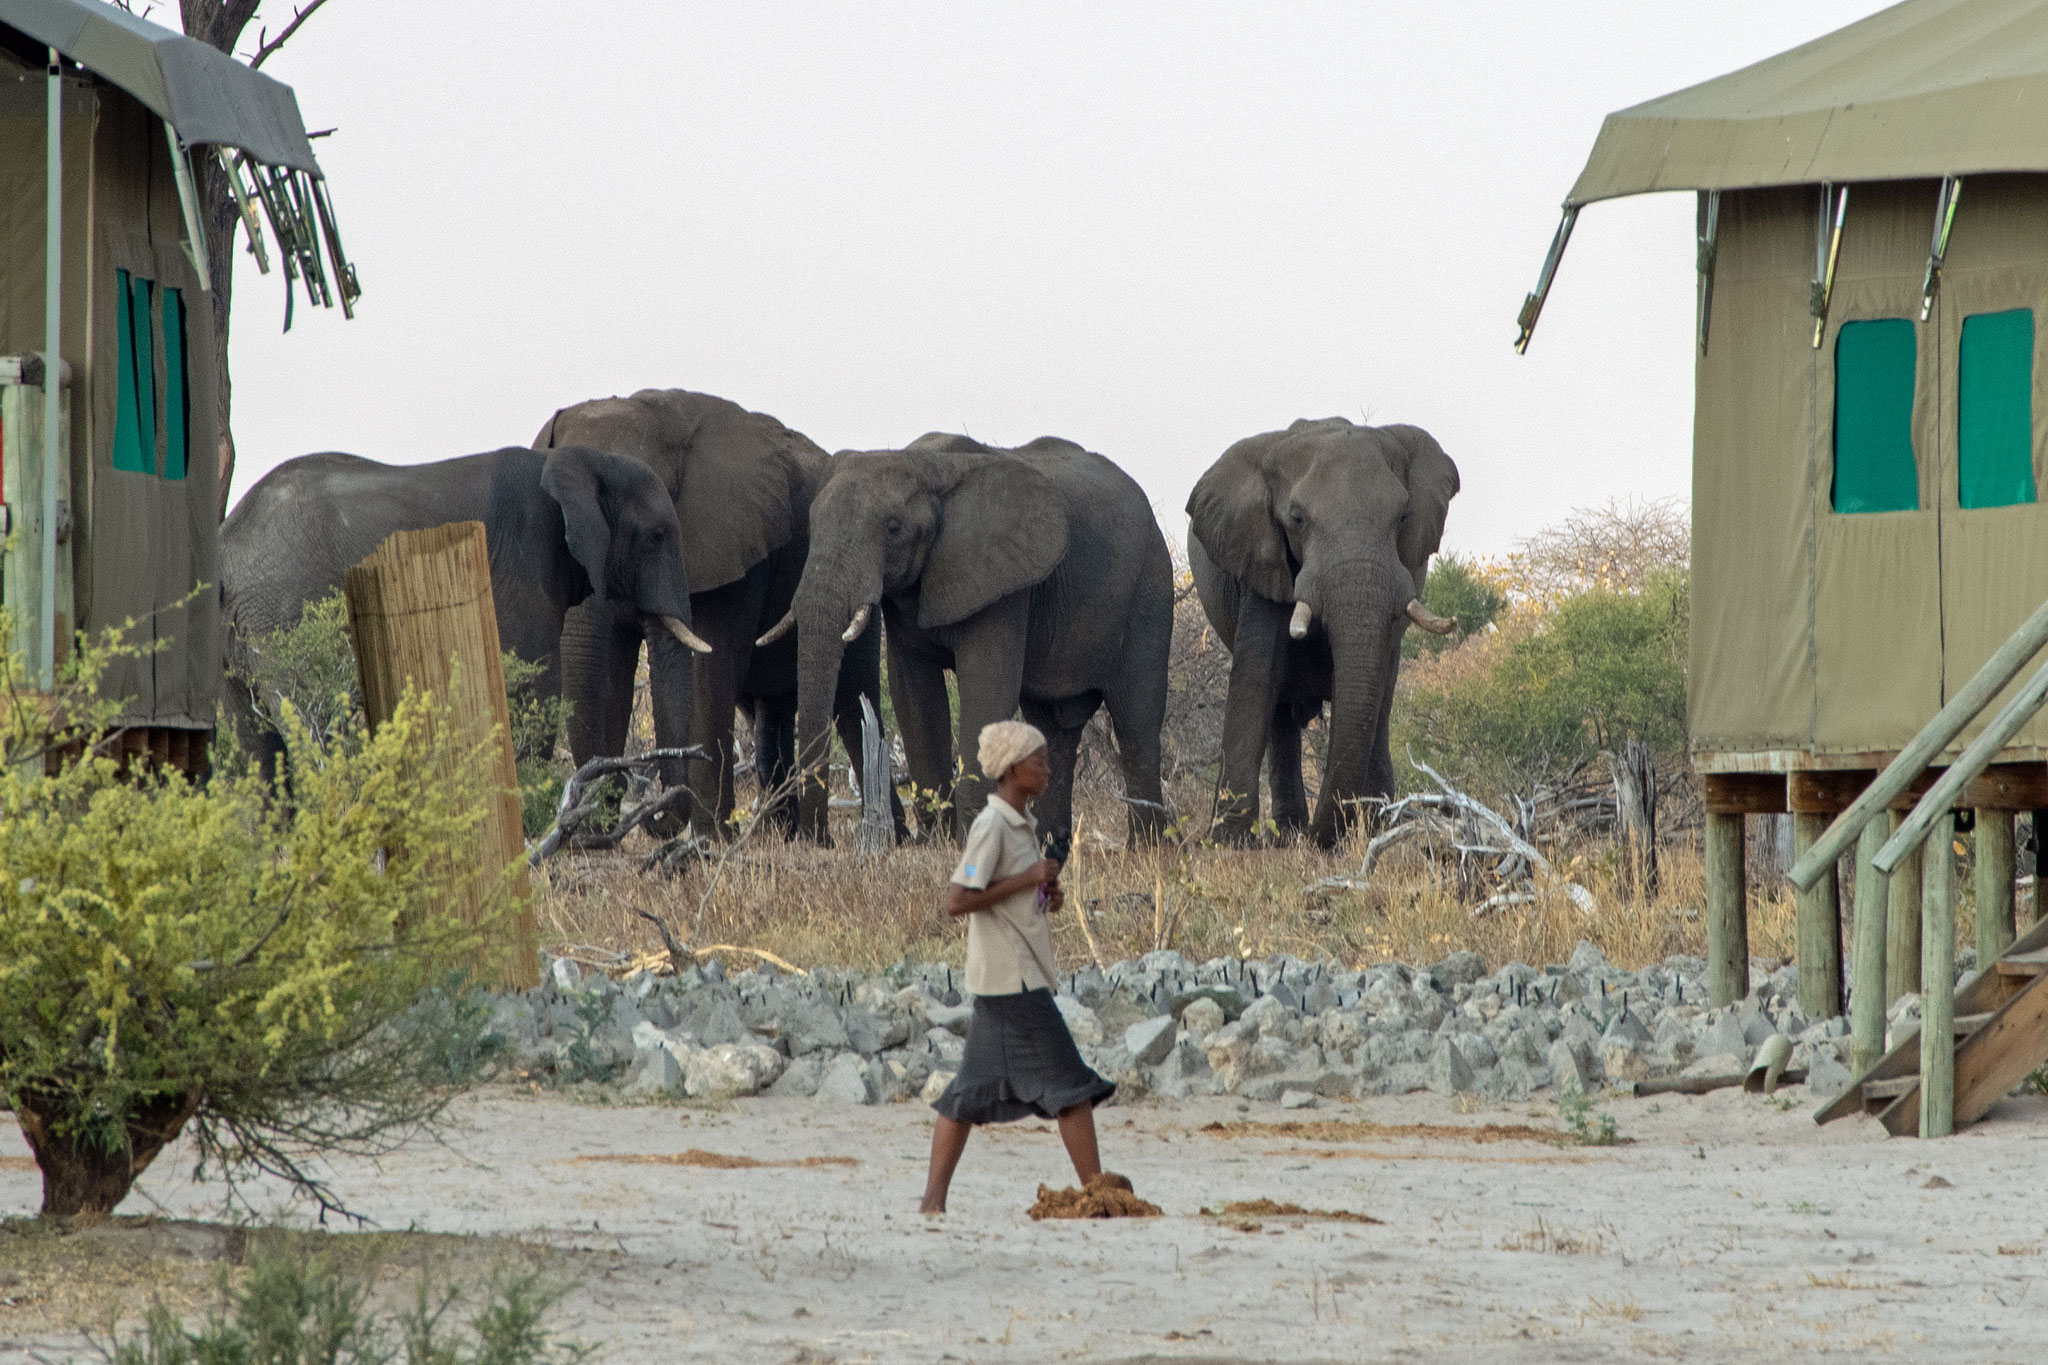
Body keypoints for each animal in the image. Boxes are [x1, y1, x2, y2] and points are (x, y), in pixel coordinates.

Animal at [222, 448, 704, 769]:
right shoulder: (522, 568)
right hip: (281, 614)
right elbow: (535, 685)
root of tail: (228, 540)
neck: (580, 461)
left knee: (253, 741)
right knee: (311, 725)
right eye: (657, 536)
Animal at [536, 388, 905, 839]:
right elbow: (609, 667)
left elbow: (707, 667)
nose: (638, 804)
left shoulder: (728, 545)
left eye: (653, 530)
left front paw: (707, 838)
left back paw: (887, 837)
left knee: (853, 700)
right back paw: (780, 833)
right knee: (769, 710)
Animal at [778, 435, 1179, 843]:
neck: (928, 464)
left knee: (1136, 721)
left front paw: (970, 838)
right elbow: (912, 691)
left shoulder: (1004, 583)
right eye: (811, 526)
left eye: (892, 528)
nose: (819, 839)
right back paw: (1050, 842)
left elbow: (986, 687)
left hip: (1150, 588)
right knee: (1053, 727)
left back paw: (1147, 845)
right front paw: (936, 840)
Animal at [1187, 417, 1458, 847]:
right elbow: (1257, 677)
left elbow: (1378, 682)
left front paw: (1369, 829)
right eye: (1297, 519)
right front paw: (1227, 844)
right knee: (1280, 713)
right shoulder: (1261, 562)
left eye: (1402, 517)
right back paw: (1288, 834)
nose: (1320, 839)